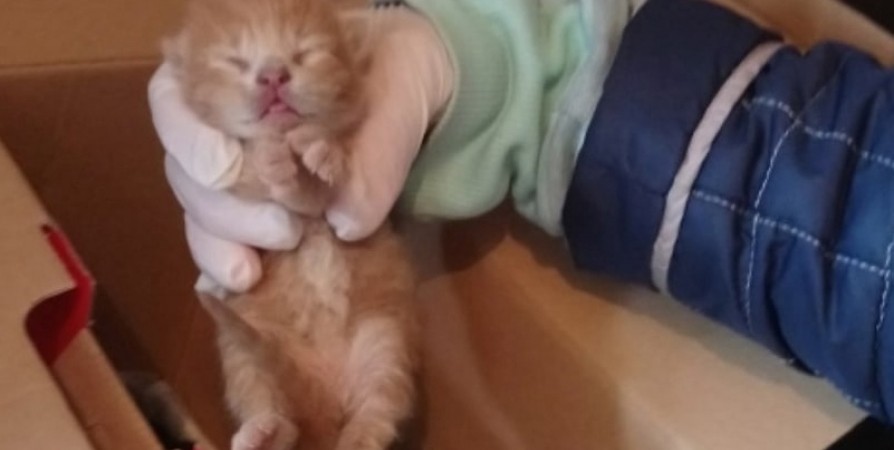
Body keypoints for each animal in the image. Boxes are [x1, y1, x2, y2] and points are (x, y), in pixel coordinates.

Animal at [163, 0, 419, 449]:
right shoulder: (241, 178)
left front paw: (313, 160)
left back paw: (355, 438)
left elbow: (323, 177)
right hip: (244, 353)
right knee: (275, 407)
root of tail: (325, 394)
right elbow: (253, 166)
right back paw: (264, 432)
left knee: (376, 410)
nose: (273, 74)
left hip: (383, 336)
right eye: (235, 61)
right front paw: (274, 160)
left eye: (305, 53)